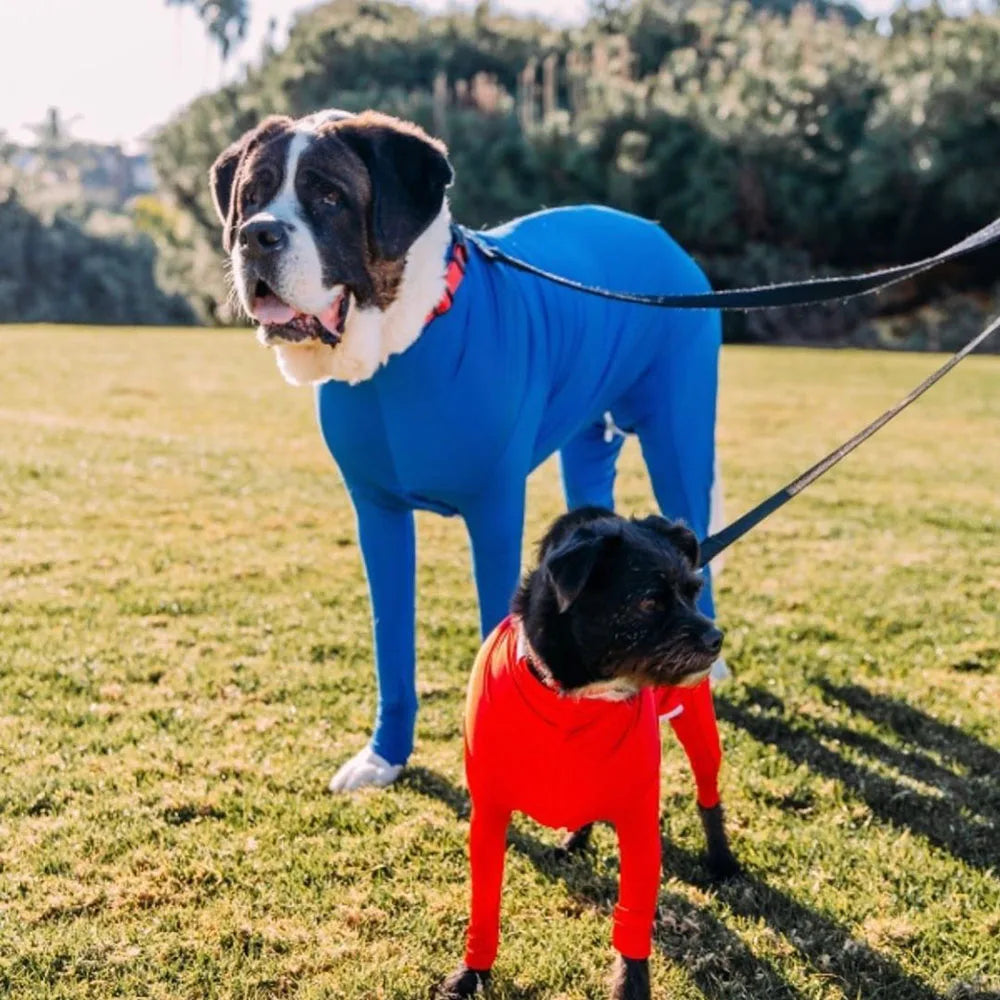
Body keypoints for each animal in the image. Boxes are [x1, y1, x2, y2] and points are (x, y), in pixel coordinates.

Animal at [211, 109, 724, 792]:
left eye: (329, 197)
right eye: (253, 195)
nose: (257, 235)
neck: (402, 347)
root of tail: (655, 232)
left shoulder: (495, 511)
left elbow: (495, 625)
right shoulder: (377, 517)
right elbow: (391, 643)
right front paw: (384, 757)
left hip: (677, 425)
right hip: (588, 446)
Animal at [434, 512, 740, 996]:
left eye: (693, 592)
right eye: (649, 601)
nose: (716, 637)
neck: (576, 695)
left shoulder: (638, 822)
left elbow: (632, 927)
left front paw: (632, 989)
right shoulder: (488, 817)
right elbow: (484, 905)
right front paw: (471, 974)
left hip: (697, 728)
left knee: (708, 794)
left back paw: (722, 860)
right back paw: (575, 839)